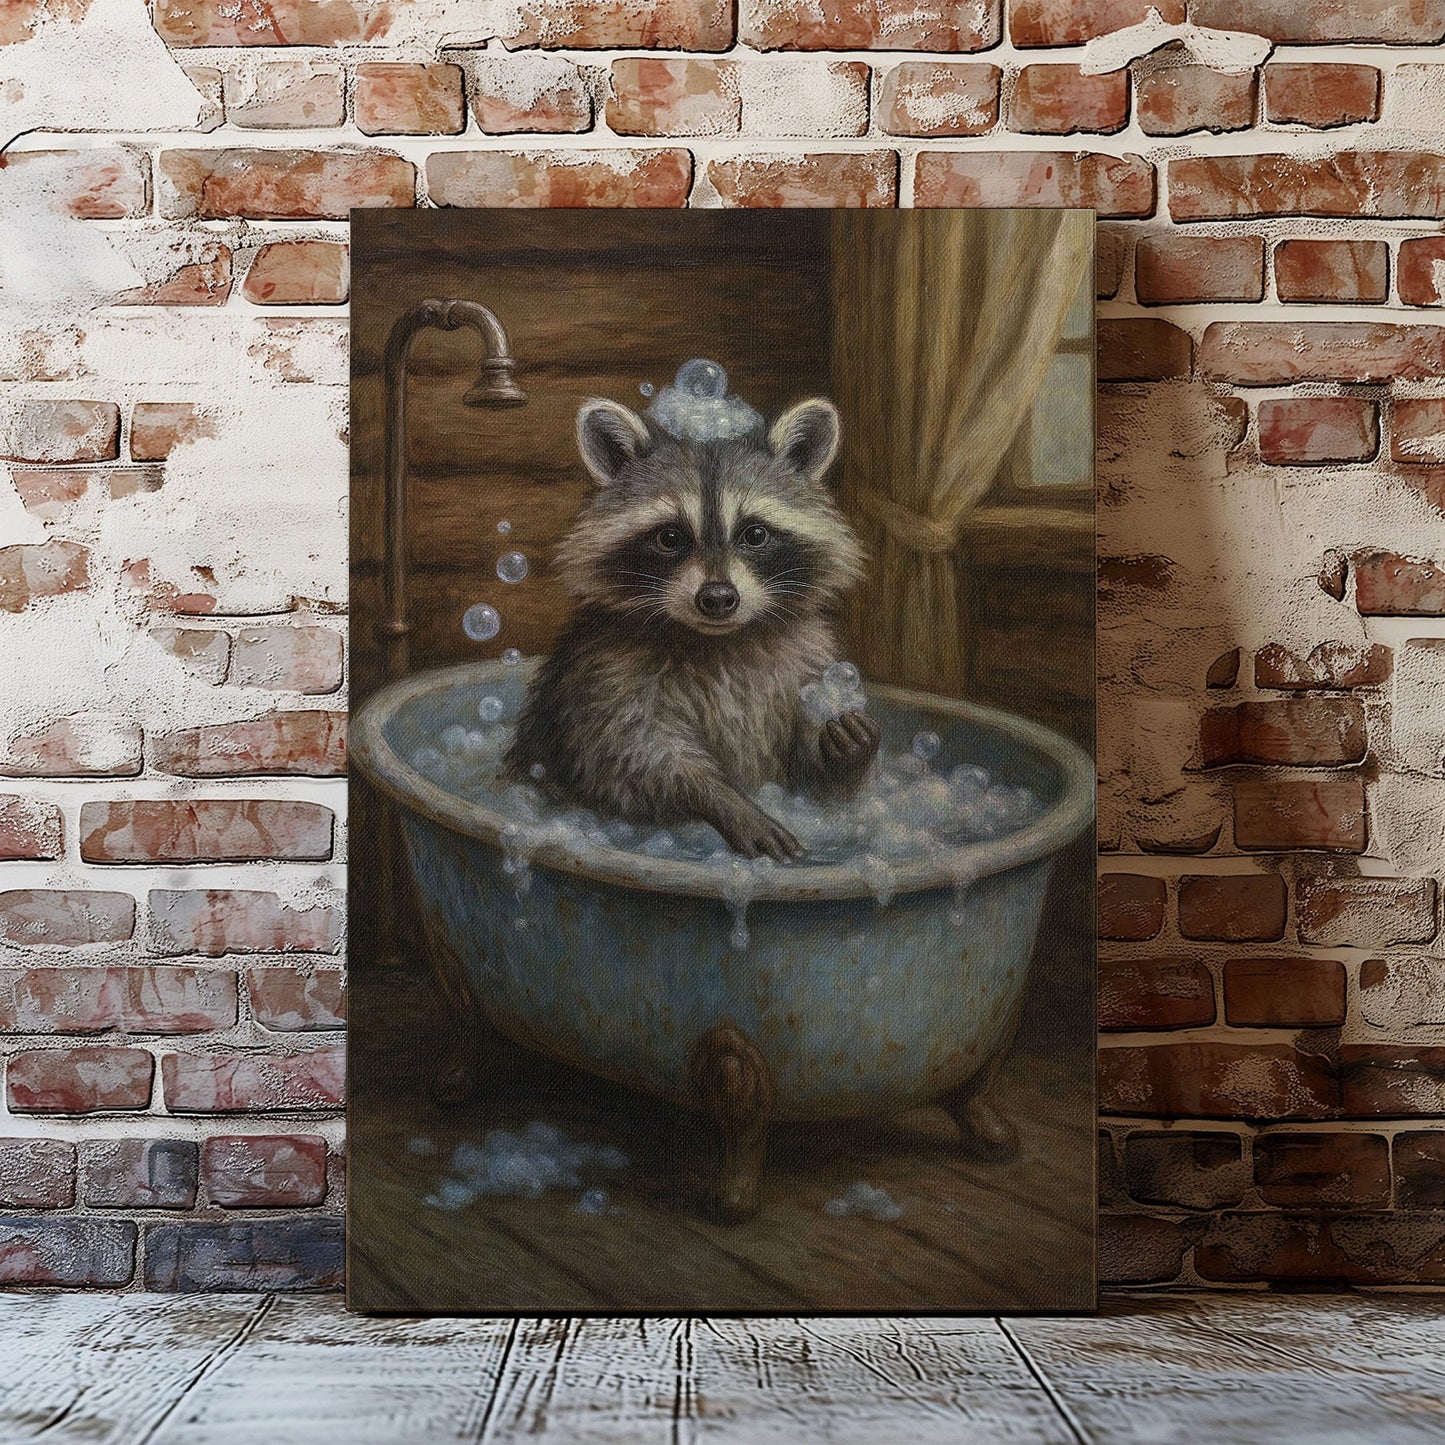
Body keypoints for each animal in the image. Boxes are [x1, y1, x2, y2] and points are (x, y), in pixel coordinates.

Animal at [505, 395, 879, 861]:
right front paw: (721, 797)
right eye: (670, 537)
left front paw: (845, 756)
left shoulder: (807, 662)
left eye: (755, 534)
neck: (720, 640)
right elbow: (632, 754)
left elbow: (808, 771)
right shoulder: (605, 673)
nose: (717, 598)